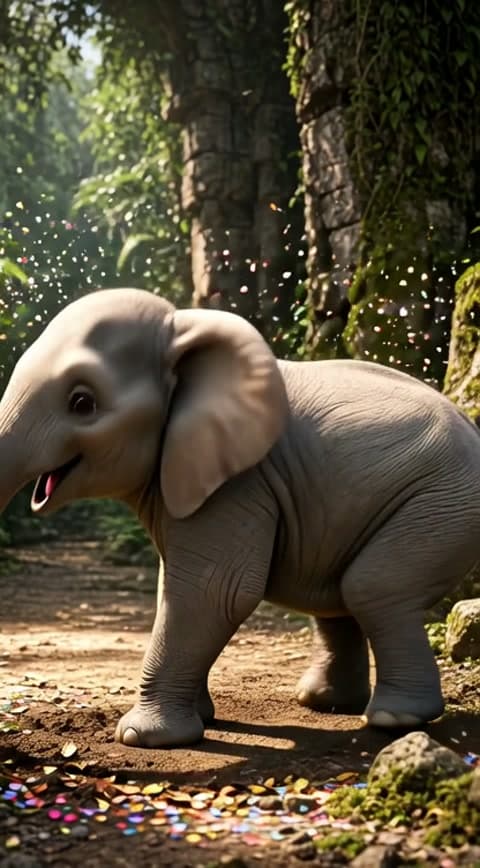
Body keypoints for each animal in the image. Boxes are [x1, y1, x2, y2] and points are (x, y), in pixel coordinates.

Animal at [1, 287, 480, 749]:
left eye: (82, 403)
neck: (184, 326)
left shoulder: (240, 484)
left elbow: (215, 592)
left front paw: (142, 738)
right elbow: (177, 588)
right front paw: (201, 719)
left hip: (442, 502)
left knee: (371, 588)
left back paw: (394, 719)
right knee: (337, 595)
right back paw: (325, 703)